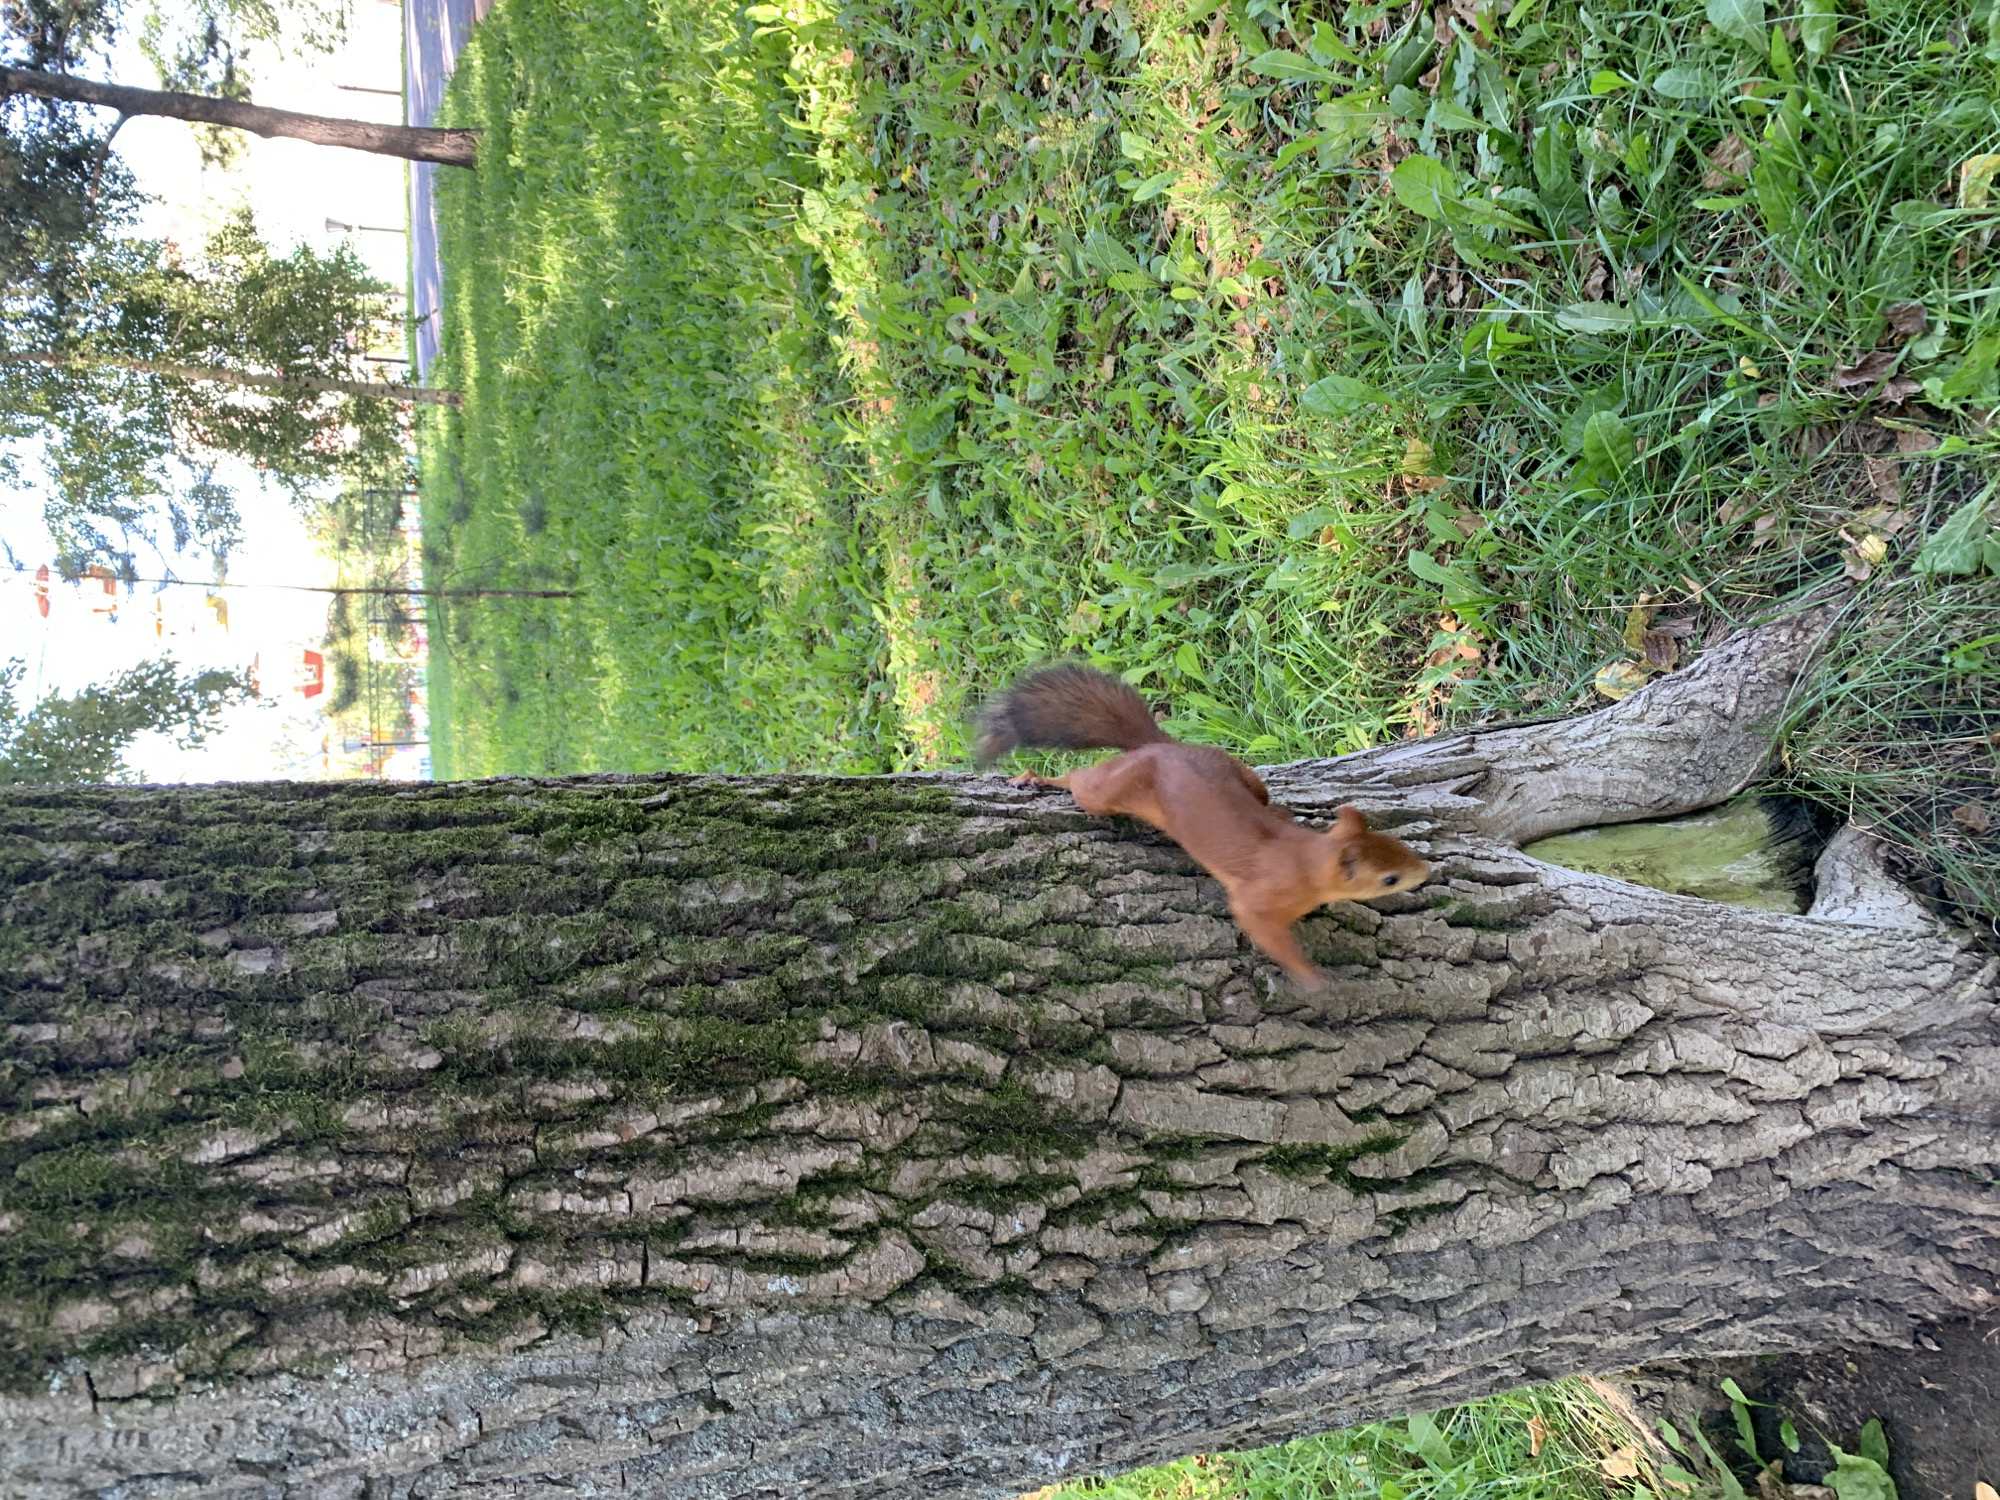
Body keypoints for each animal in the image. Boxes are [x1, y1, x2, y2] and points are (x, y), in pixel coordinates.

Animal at [976, 664, 1432, 991]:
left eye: (1401, 846)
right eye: (1389, 879)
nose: (1426, 872)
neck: (1305, 858)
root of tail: (1161, 748)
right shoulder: (1259, 898)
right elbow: (1264, 930)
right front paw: (1312, 978)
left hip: (1238, 771)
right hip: (1111, 791)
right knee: (1079, 779)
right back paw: (1037, 778)